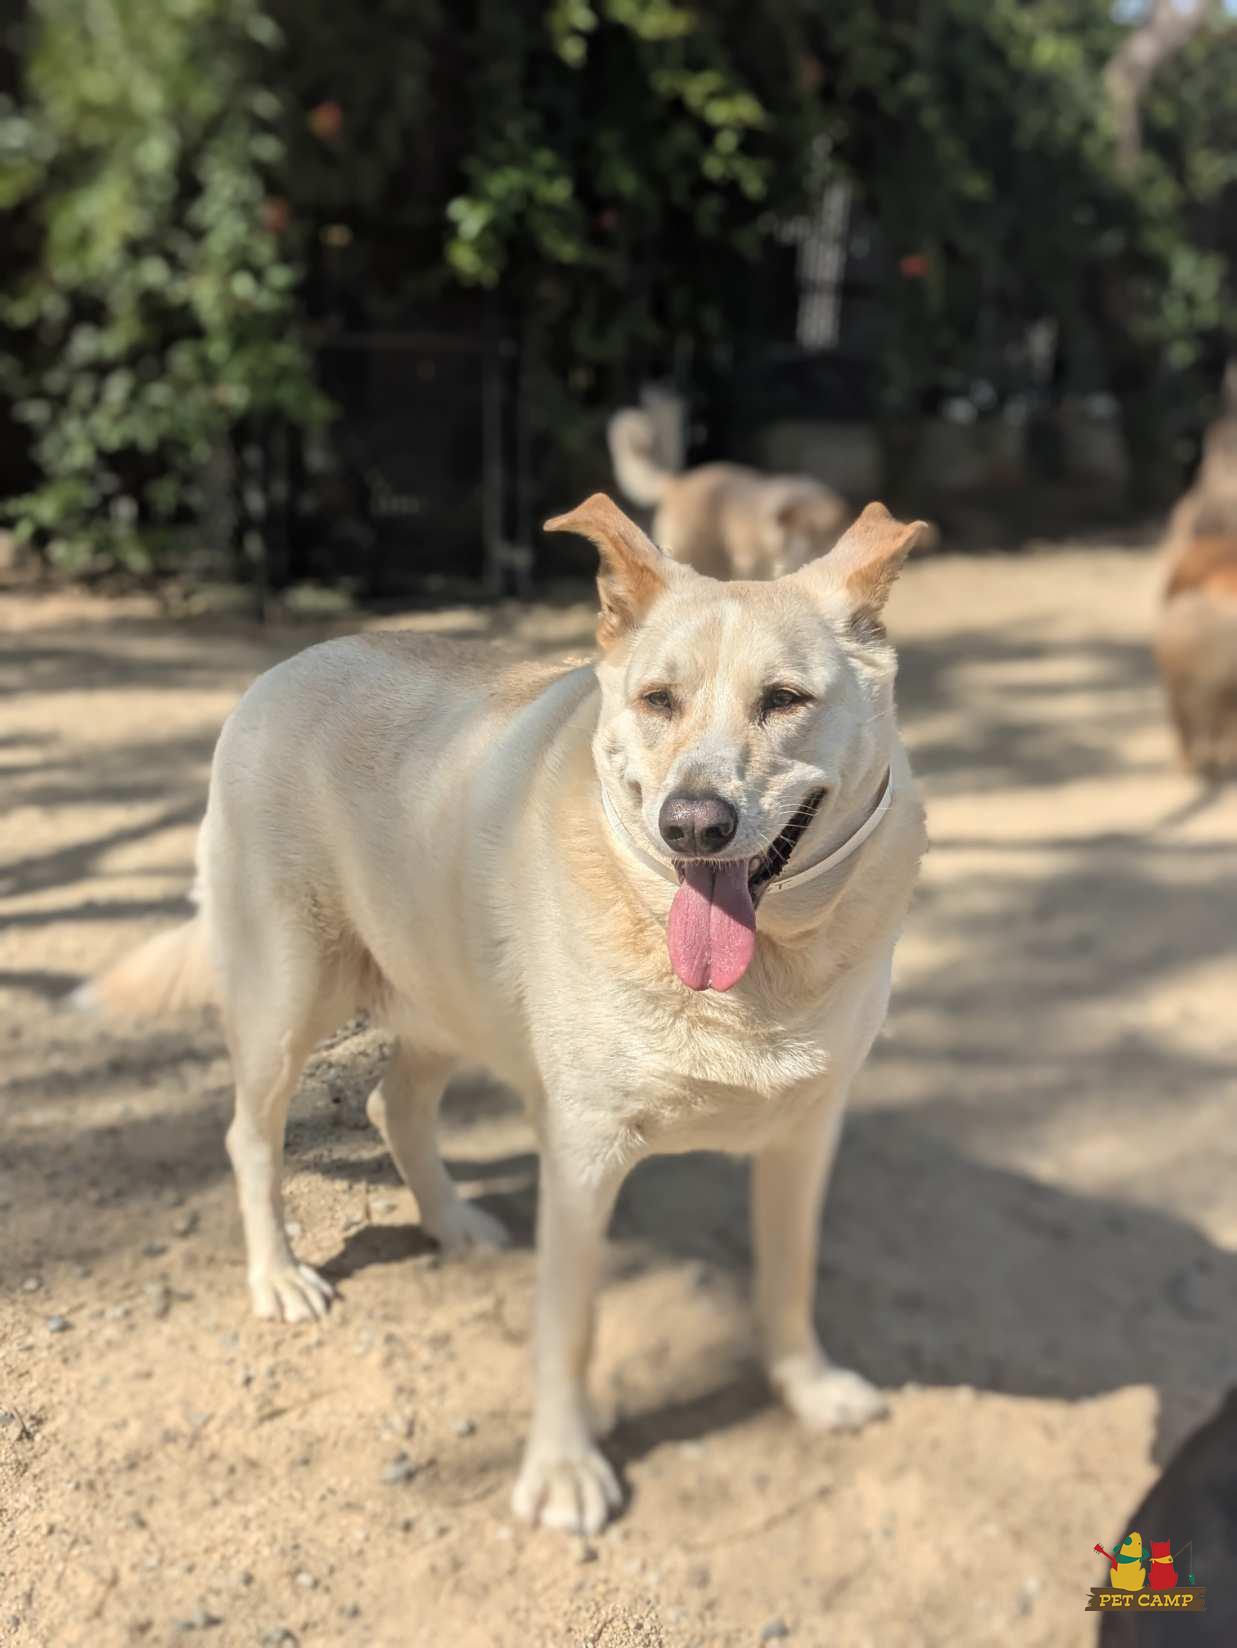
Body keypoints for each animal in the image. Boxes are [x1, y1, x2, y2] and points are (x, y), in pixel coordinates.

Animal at [81, 492, 929, 1534]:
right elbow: (568, 1327)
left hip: (445, 997)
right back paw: (278, 1276)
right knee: (250, 1137)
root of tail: (286, 664)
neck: (752, 976)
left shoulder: (804, 1138)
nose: (692, 825)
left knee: (393, 1105)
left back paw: (448, 1221)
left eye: (783, 700)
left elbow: (789, 1274)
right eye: (658, 700)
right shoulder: (581, 1156)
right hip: (285, 1001)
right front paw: (563, 1470)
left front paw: (806, 1388)